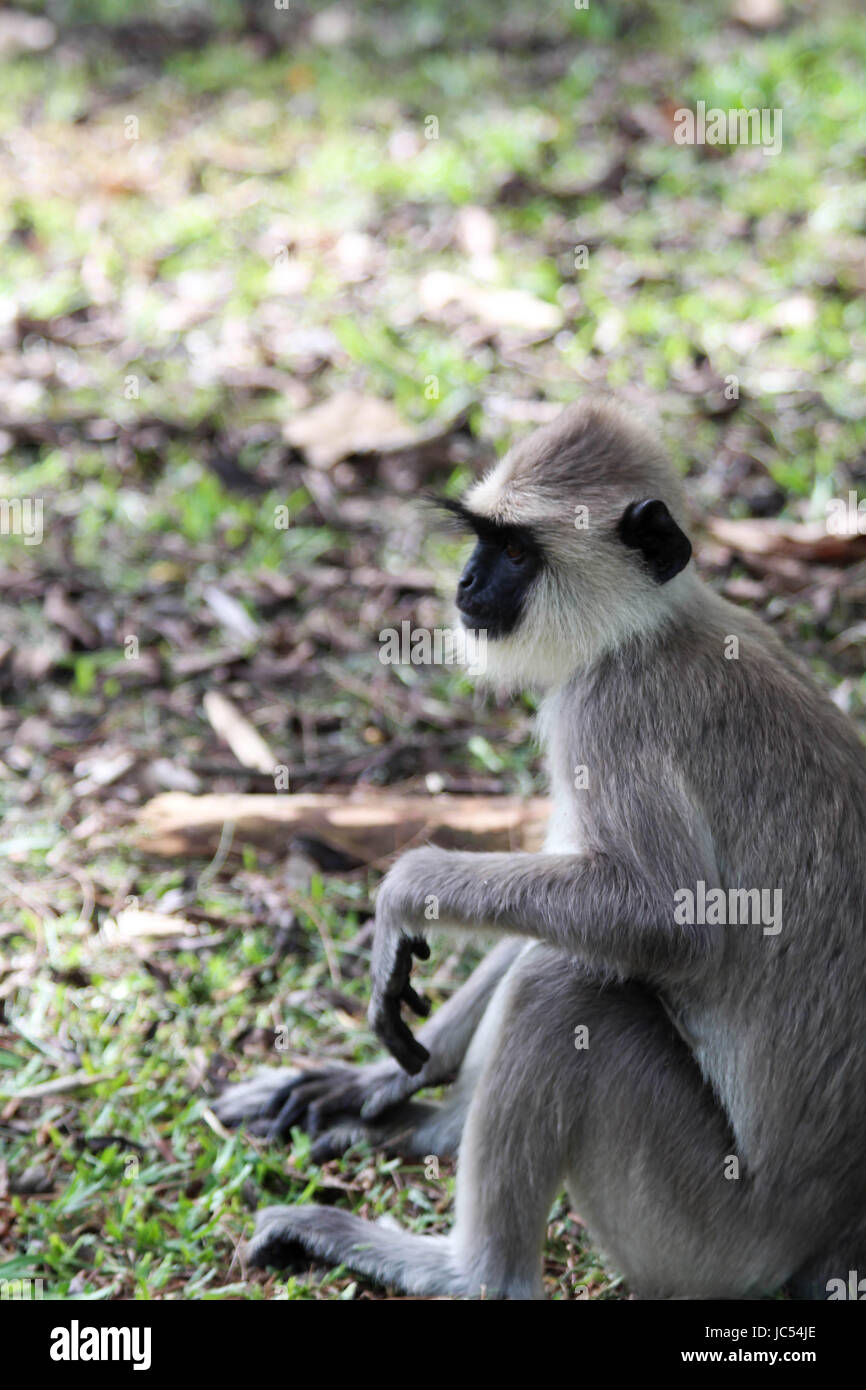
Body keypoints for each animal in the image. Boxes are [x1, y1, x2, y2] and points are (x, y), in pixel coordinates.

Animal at [215, 397, 866, 1295]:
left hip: (713, 1238)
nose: (464, 583)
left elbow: (667, 922)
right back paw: (430, 1125)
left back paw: (465, 1271)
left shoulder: (609, 707)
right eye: (483, 539)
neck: (650, 629)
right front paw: (388, 1076)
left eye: (517, 552)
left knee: (566, 986)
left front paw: (406, 887)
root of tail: (827, 1235)